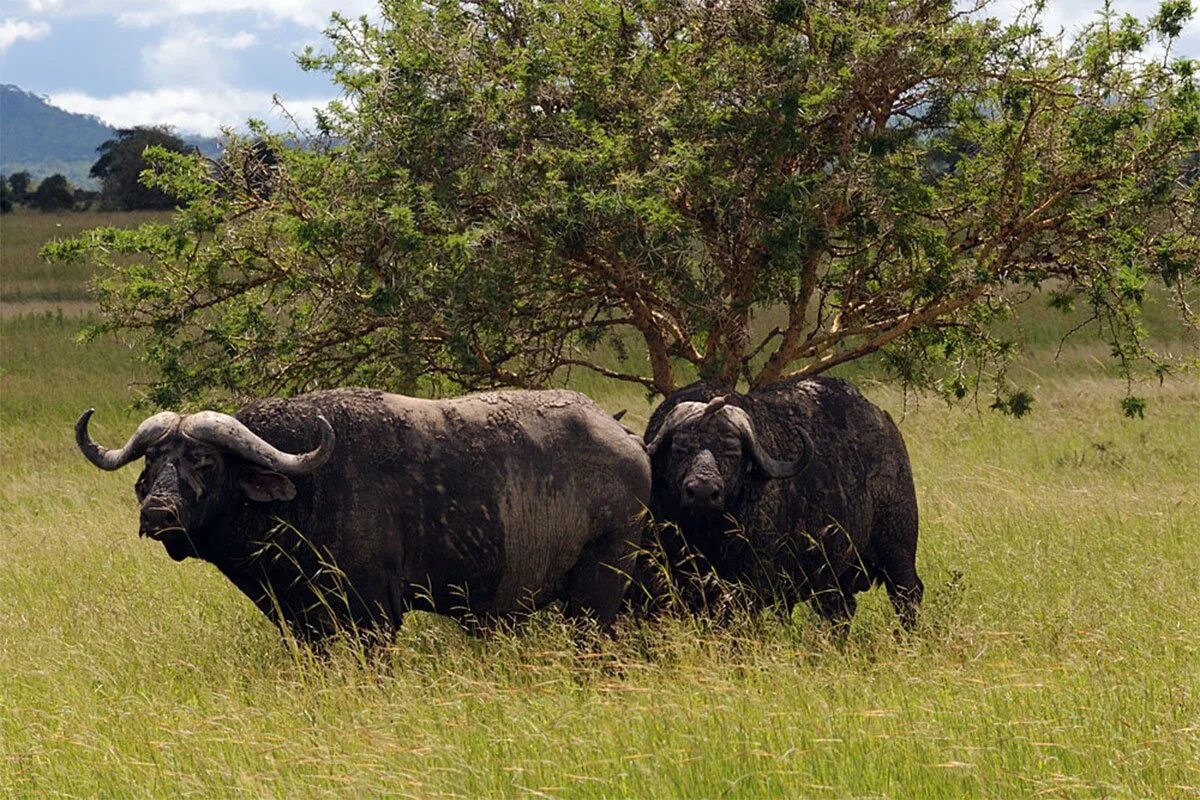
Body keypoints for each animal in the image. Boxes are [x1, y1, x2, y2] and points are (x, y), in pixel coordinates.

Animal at [76, 388, 652, 638]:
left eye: (205, 462)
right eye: (153, 461)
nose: (158, 513)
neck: (307, 494)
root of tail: (627, 437)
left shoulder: (373, 614)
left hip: (596, 590)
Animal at [643, 376, 921, 633]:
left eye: (733, 453)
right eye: (679, 449)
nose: (702, 492)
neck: (704, 536)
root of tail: (886, 424)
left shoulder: (746, 586)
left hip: (898, 549)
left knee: (908, 595)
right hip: (834, 578)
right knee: (840, 611)